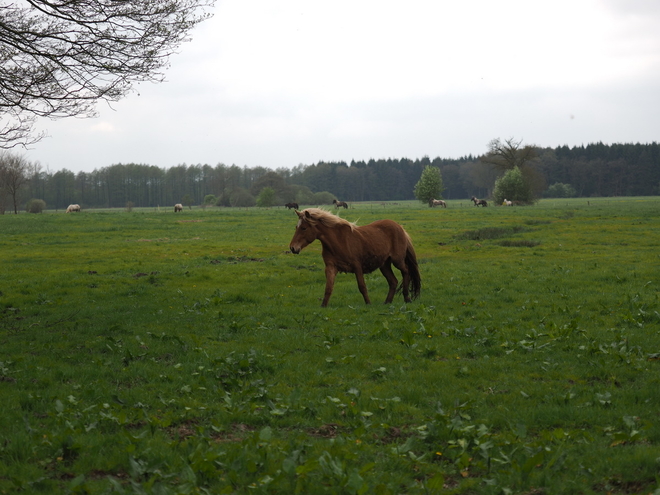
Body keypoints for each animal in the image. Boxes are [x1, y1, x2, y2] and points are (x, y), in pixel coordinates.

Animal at [288, 205, 422, 306]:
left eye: (304, 228)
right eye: (296, 227)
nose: (293, 248)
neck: (338, 242)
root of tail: (400, 227)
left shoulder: (357, 267)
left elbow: (362, 286)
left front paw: (368, 304)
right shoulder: (331, 267)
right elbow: (328, 288)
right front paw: (323, 306)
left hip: (397, 260)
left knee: (406, 272)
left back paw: (407, 298)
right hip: (384, 264)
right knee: (393, 281)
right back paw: (387, 302)